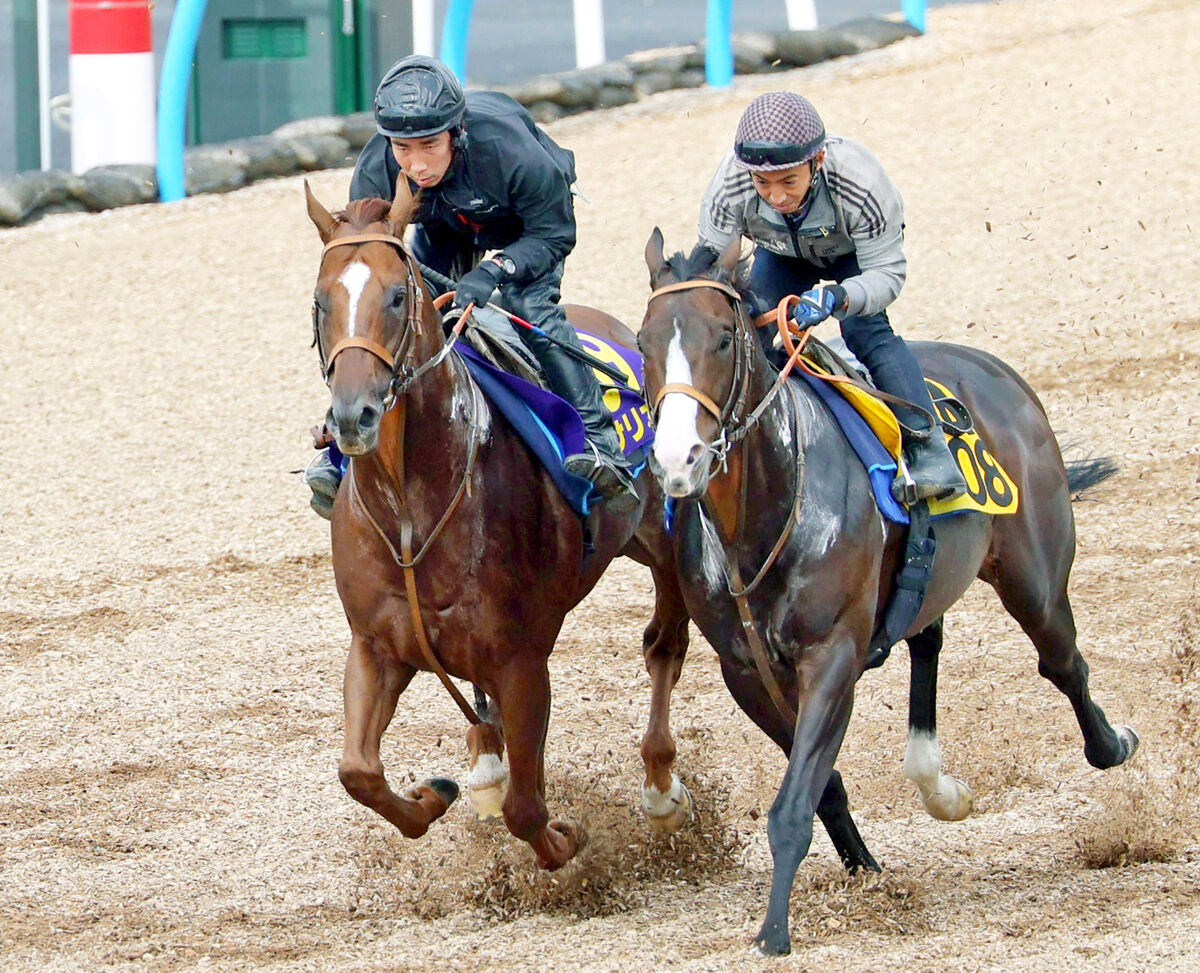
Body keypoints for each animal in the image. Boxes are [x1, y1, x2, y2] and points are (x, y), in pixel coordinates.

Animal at [300, 181, 696, 868]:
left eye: (397, 295)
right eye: (322, 302)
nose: (353, 416)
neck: (410, 510)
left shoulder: (522, 659)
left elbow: (527, 808)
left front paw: (568, 847)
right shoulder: (377, 647)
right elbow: (359, 772)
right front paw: (433, 795)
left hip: (662, 542)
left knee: (664, 646)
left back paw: (661, 792)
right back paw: (484, 763)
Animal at [633, 230, 1137, 959]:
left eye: (724, 337)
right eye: (643, 341)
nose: (679, 461)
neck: (765, 511)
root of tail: (1000, 375)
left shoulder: (833, 656)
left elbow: (793, 803)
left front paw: (775, 929)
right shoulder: (746, 671)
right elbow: (820, 788)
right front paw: (864, 869)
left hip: (1035, 575)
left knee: (1063, 662)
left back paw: (1111, 743)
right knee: (930, 637)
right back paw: (937, 782)